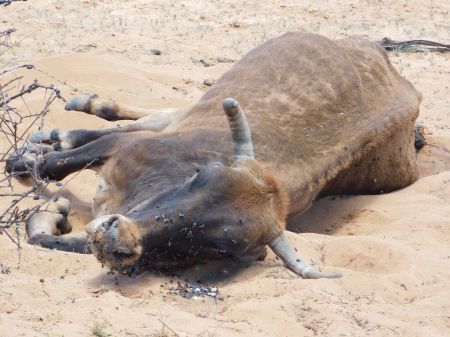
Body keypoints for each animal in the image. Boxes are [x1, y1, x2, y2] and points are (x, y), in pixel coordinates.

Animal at [7, 32, 422, 278]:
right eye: (200, 176)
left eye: (223, 245)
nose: (118, 238)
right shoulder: (122, 151)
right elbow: (55, 165)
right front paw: (23, 160)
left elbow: (51, 239)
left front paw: (49, 216)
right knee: (140, 119)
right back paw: (67, 122)